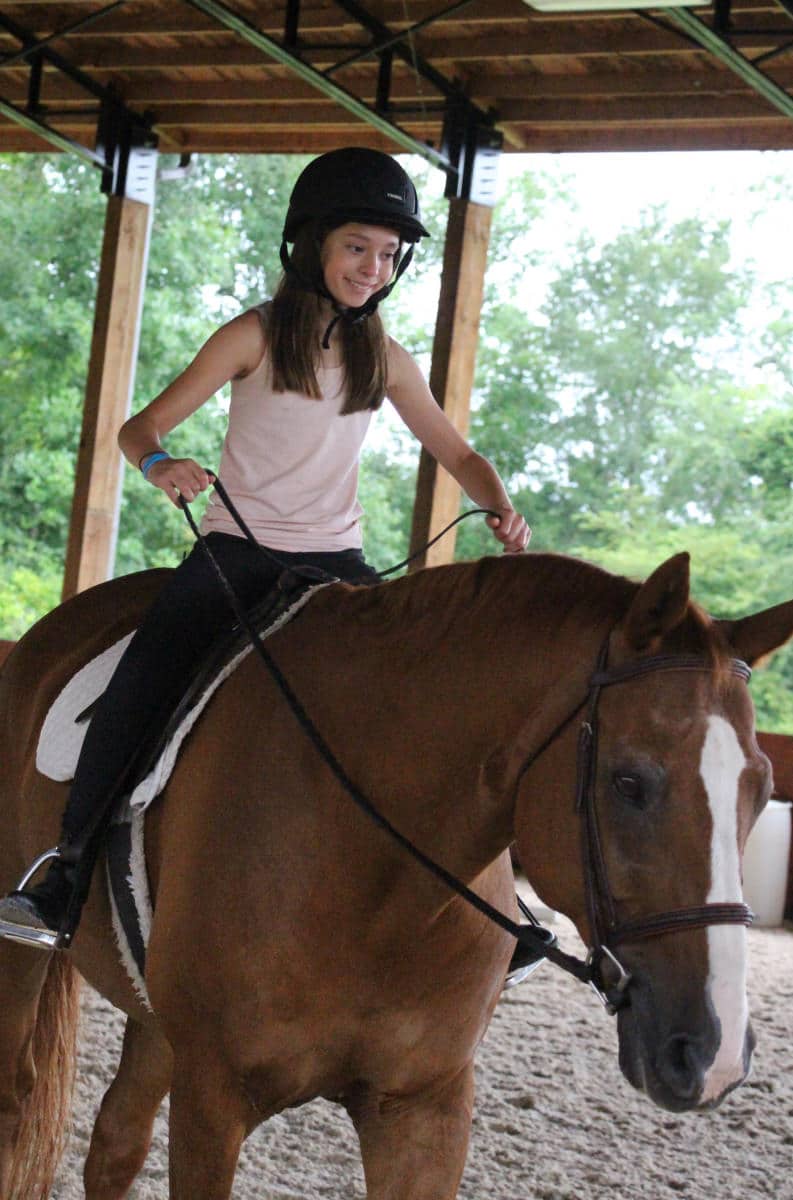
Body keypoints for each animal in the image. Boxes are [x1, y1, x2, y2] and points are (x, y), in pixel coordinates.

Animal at [1, 552, 791, 1200]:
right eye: (629, 783)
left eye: (760, 789)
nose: (713, 1054)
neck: (377, 884)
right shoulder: (213, 1099)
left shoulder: (423, 1110)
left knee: (115, 1144)